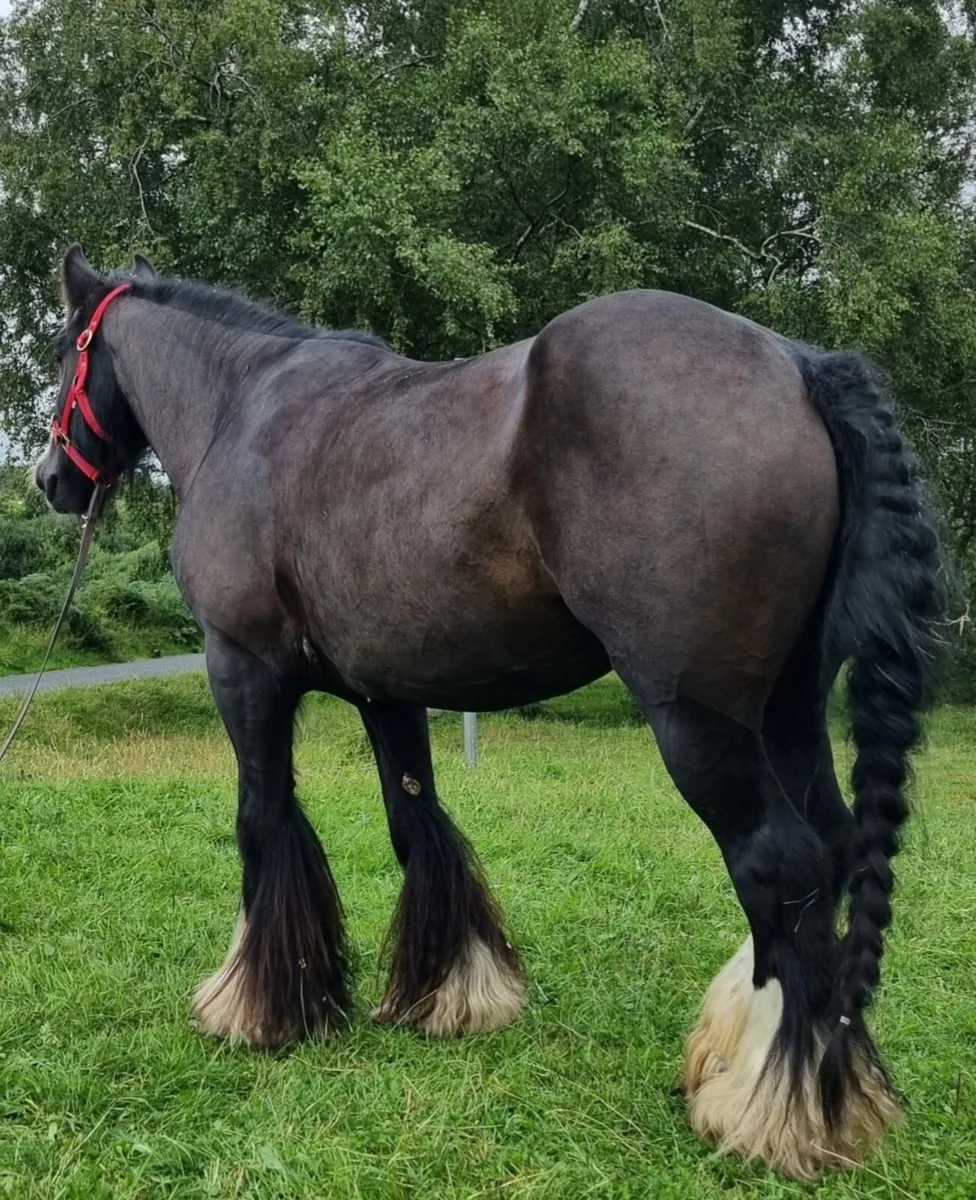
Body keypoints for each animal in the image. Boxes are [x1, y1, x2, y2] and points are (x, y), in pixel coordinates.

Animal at [33, 245, 943, 1180]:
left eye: (65, 351)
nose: (49, 479)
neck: (241, 406)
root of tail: (799, 367)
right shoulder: (386, 691)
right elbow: (417, 825)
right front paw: (451, 994)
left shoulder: (242, 670)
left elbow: (262, 820)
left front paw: (254, 1008)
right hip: (790, 712)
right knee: (830, 849)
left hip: (700, 721)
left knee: (776, 864)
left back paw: (770, 1107)